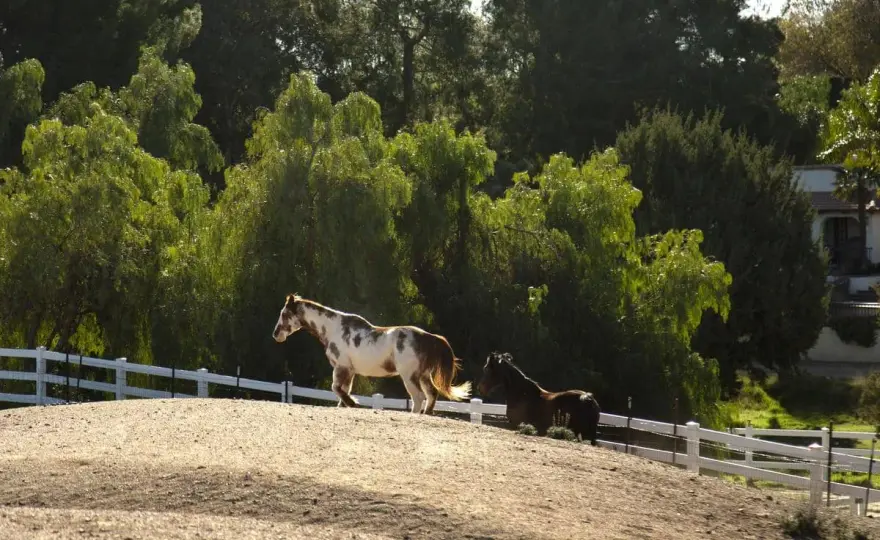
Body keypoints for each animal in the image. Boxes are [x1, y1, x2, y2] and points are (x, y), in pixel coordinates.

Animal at [272, 293, 472, 414]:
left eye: (284, 314)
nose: (276, 334)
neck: (333, 329)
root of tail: (428, 337)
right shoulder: (349, 371)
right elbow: (343, 391)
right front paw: (347, 404)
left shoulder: (341, 367)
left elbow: (336, 388)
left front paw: (353, 403)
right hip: (423, 376)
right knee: (431, 395)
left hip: (409, 376)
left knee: (418, 398)